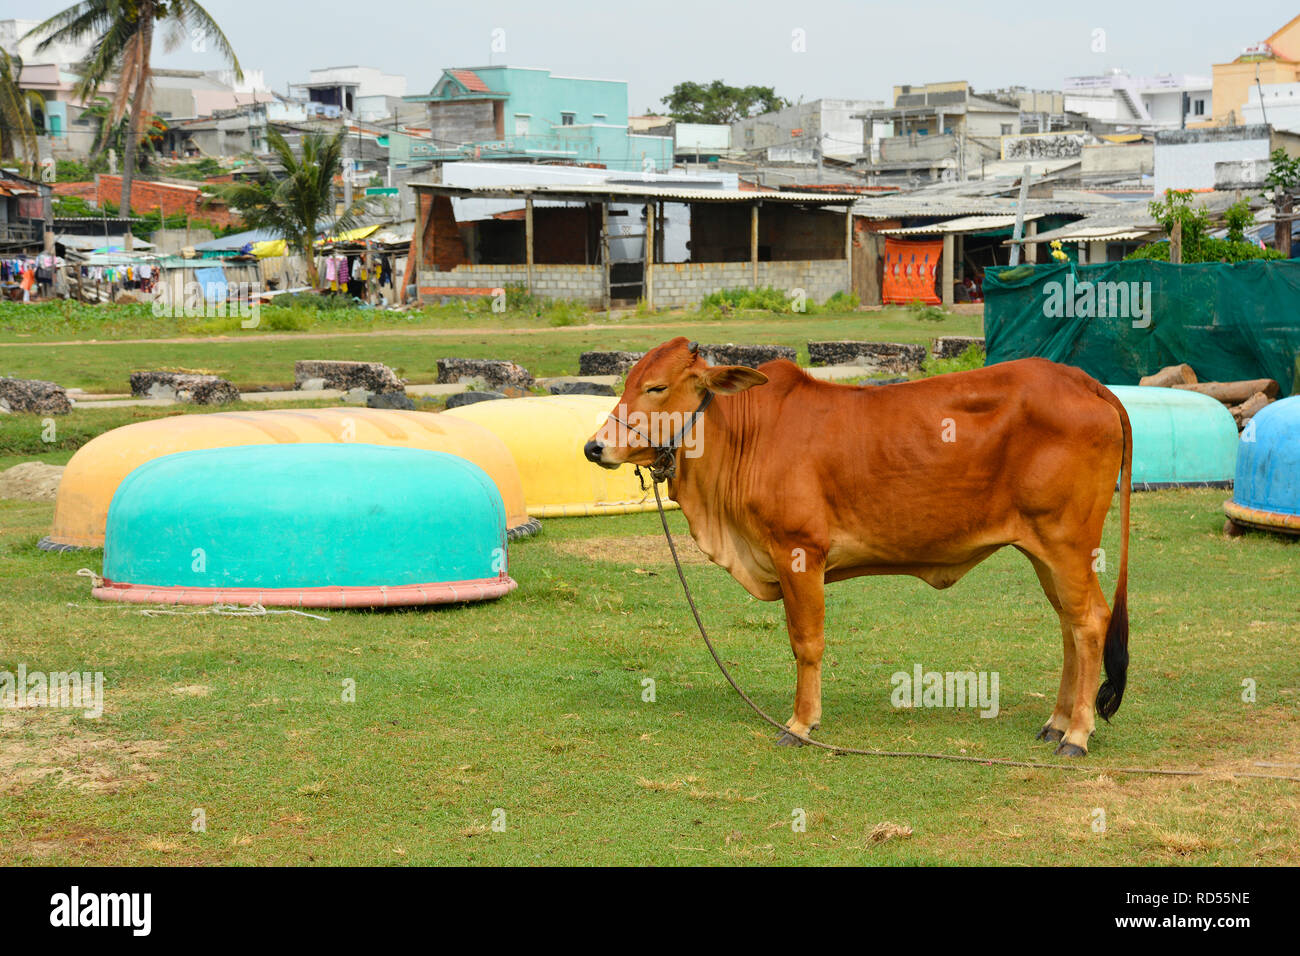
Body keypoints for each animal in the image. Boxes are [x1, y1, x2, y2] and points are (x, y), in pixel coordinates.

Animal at [585, 340, 1133, 759]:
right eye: (627, 384)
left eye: (657, 387)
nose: (594, 448)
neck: (746, 437)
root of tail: (1084, 381)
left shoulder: (799, 552)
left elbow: (806, 642)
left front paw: (801, 724)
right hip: (1043, 552)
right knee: (1069, 626)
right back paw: (1056, 722)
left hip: (1067, 543)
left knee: (1089, 623)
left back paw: (1076, 735)